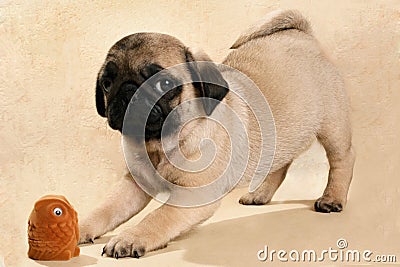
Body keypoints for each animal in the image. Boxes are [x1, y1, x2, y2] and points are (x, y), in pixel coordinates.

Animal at [79, 10, 354, 260]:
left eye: (164, 84)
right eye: (107, 83)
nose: (127, 92)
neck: (160, 145)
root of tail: (302, 34)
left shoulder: (193, 195)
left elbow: (157, 217)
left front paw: (131, 237)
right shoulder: (133, 185)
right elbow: (106, 209)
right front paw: (80, 228)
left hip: (333, 126)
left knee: (342, 161)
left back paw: (331, 198)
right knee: (280, 165)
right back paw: (259, 194)